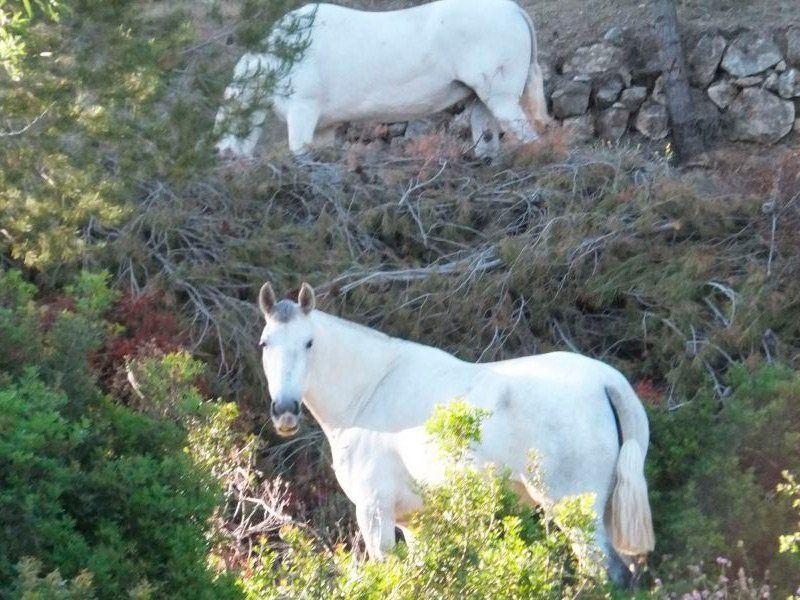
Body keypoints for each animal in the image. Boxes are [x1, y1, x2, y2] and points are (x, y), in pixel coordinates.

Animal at [214, 0, 551, 159]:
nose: (225, 154)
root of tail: (515, 10)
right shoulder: (324, 127)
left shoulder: (302, 111)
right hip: (480, 98)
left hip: (501, 97)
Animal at [257, 282, 655, 583]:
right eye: (265, 343)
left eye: (309, 342)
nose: (286, 410)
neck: (371, 391)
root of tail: (607, 382)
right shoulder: (415, 524)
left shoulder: (374, 512)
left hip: (576, 514)